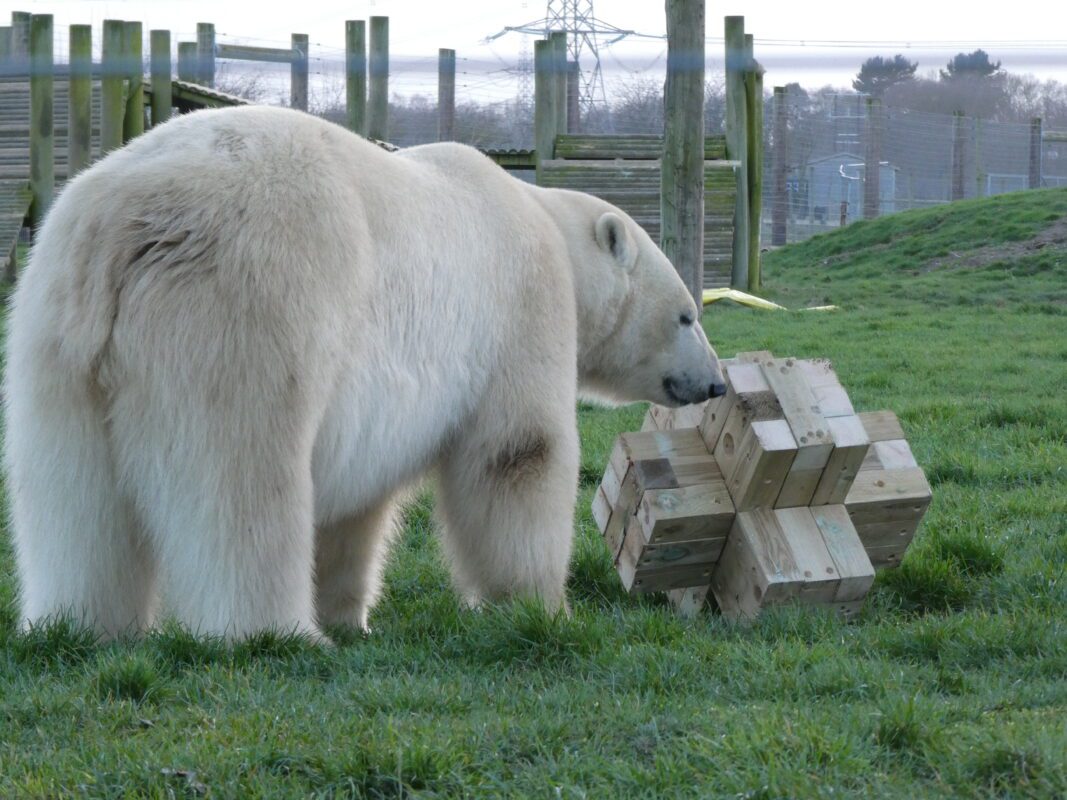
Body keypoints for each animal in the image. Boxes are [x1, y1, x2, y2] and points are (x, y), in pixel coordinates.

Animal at [4, 105, 725, 640]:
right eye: (687, 314)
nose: (714, 382)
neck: (540, 218)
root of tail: (132, 226)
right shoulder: (520, 310)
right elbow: (518, 452)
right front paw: (539, 607)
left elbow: (353, 508)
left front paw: (350, 617)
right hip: (245, 307)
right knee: (243, 481)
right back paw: (277, 633)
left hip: (57, 328)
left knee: (71, 497)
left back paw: (81, 625)